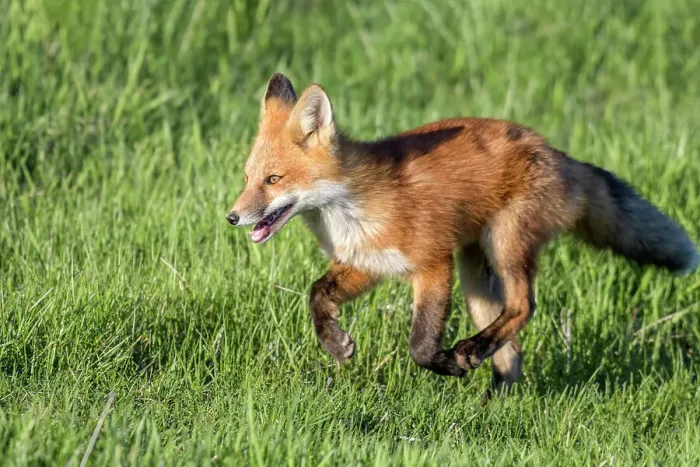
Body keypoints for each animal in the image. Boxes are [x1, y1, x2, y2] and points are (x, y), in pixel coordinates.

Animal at [226, 72, 699, 393]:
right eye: (247, 178)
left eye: (273, 179)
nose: (232, 217)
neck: (353, 210)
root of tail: (555, 152)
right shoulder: (367, 264)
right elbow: (317, 293)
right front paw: (336, 344)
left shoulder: (433, 264)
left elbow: (420, 344)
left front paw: (447, 365)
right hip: (477, 278)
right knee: (511, 346)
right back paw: (496, 402)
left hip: (504, 244)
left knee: (524, 306)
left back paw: (470, 353)